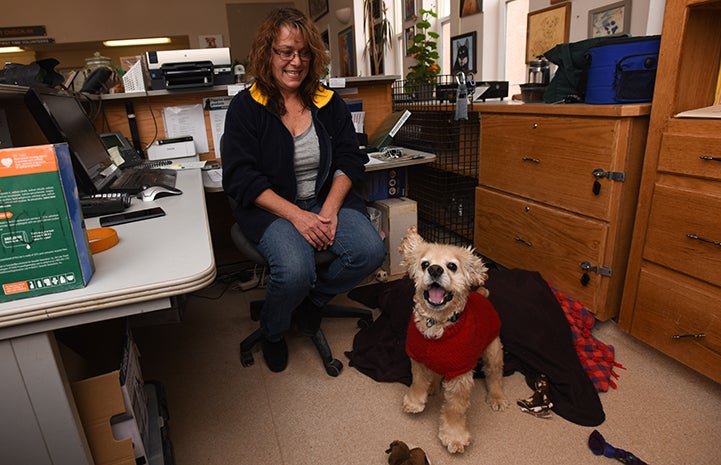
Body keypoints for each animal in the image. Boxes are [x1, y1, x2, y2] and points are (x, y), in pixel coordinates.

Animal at [396, 225, 510, 454]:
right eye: (425, 264)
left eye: (451, 266)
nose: (435, 270)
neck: (437, 324)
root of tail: (481, 295)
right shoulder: (418, 358)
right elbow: (418, 381)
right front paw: (415, 401)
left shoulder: (460, 375)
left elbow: (455, 409)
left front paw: (454, 437)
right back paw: (433, 386)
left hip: (493, 351)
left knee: (494, 375)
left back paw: (497, 397)